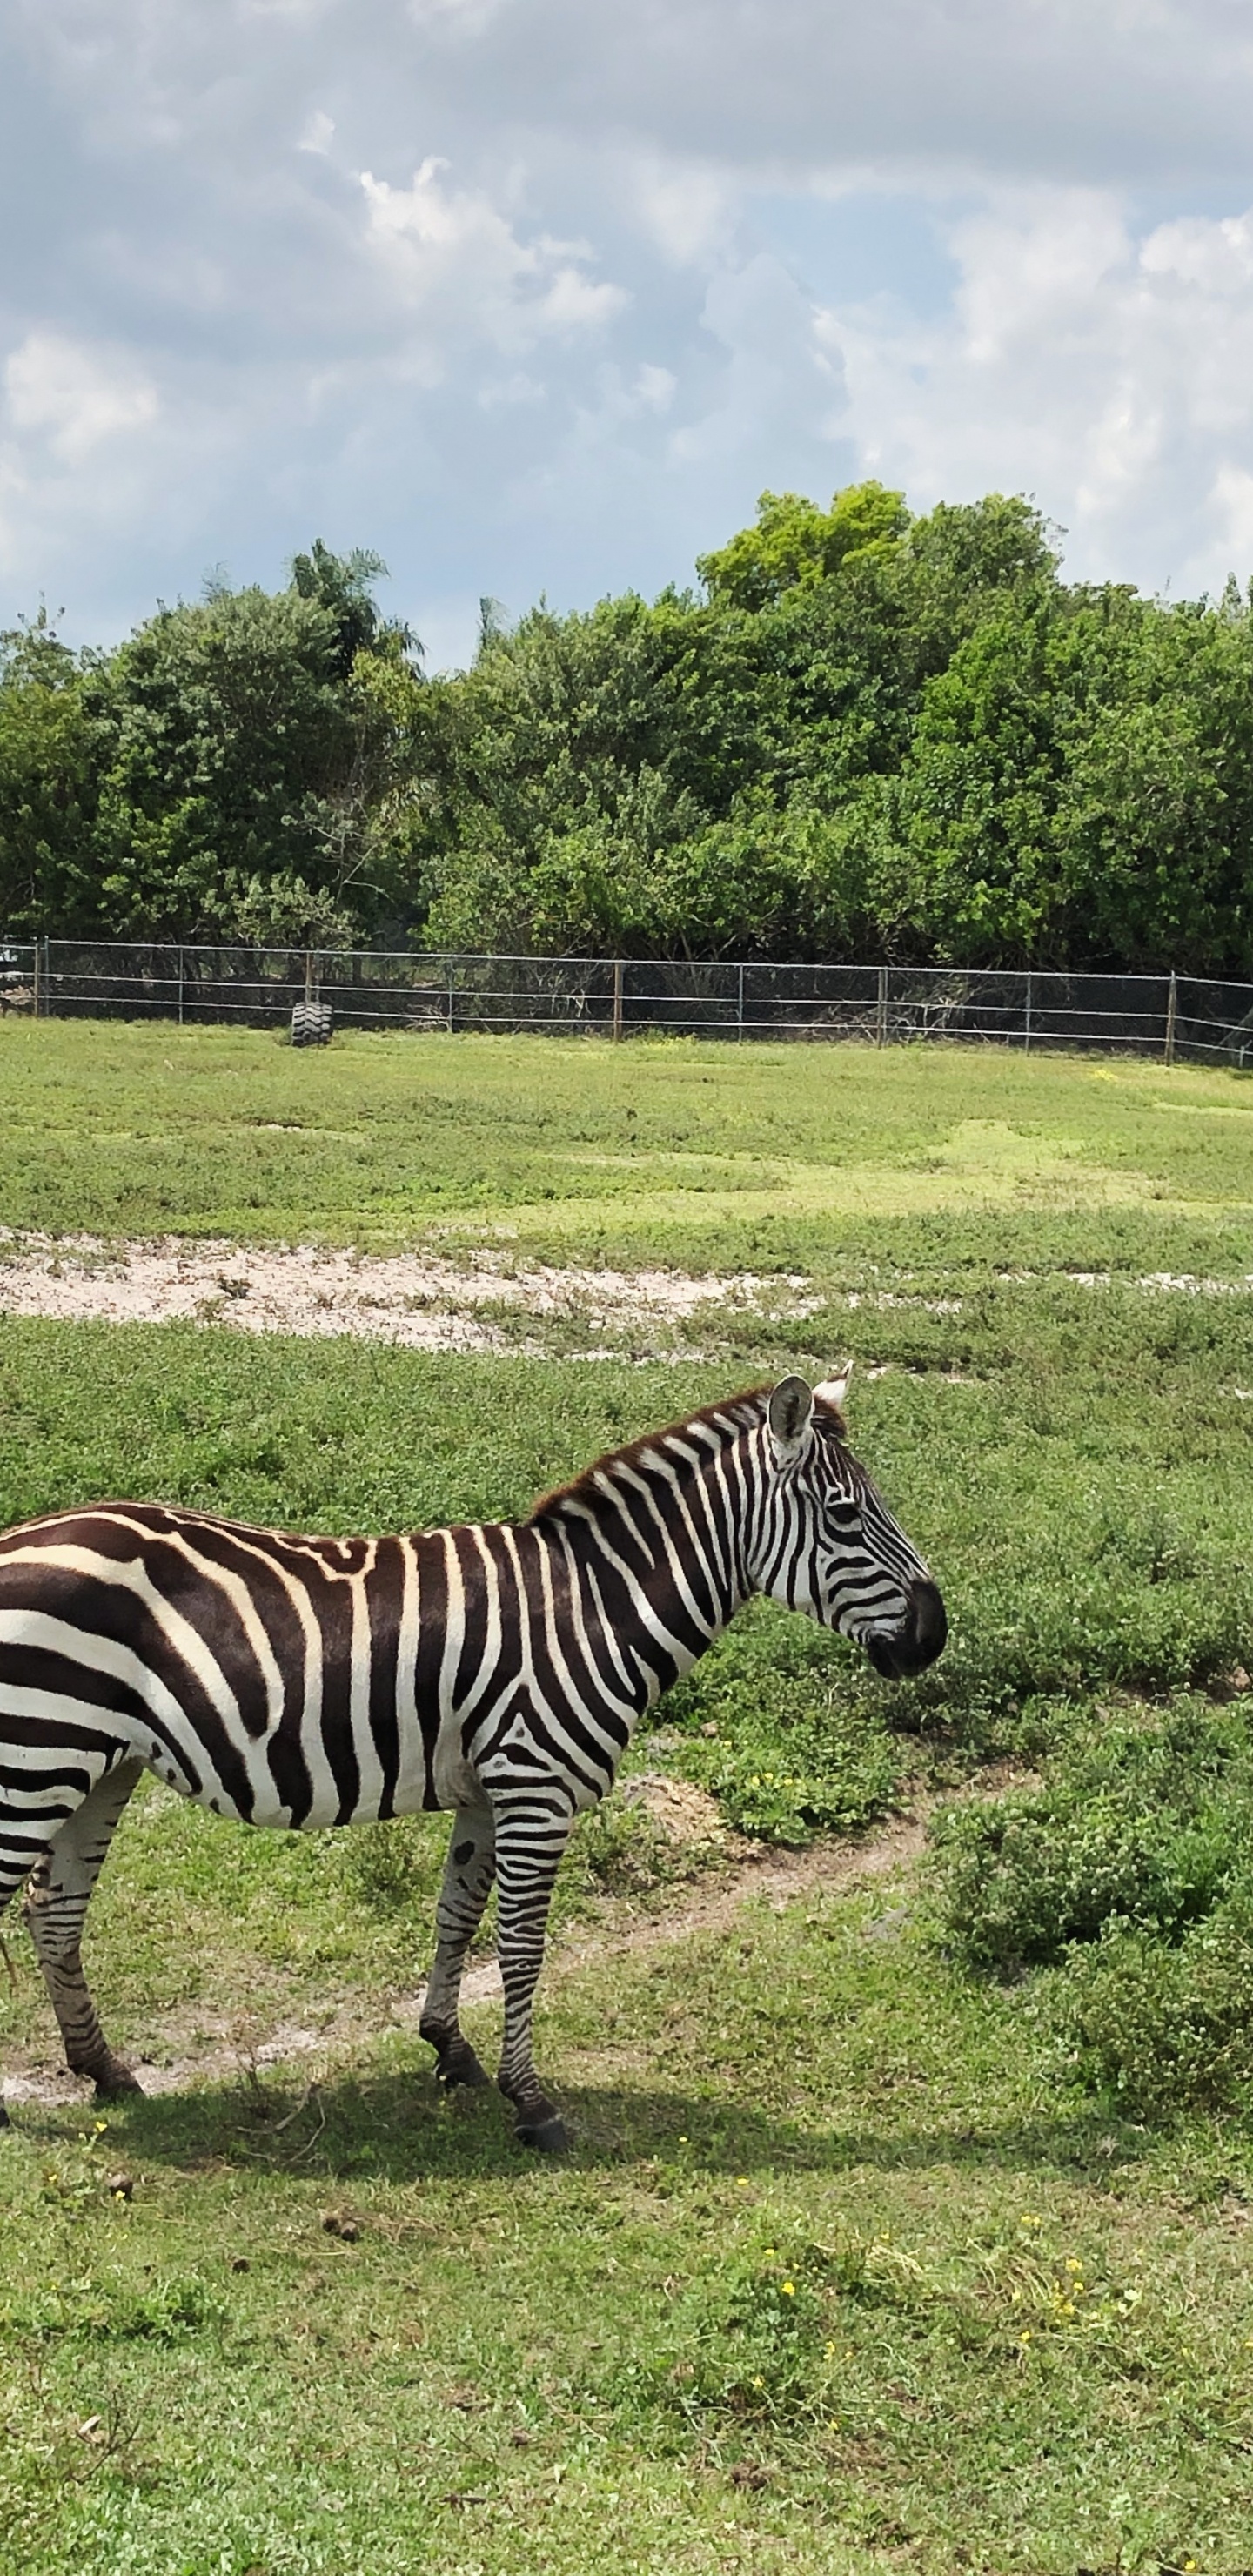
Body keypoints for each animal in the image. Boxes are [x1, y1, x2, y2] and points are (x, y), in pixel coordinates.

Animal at [0, 1371, 944, 2151]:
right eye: (847, 1516)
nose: (935, 1636)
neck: (594, 1606)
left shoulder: (488, 1788)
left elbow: (456, 1914)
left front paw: (449, 2048)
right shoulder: (536, 1784)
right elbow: (523, 1942)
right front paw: (531, 2101)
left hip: (101, 1762)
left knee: (55, 1908)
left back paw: (106, 2071)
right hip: (38, 1751)